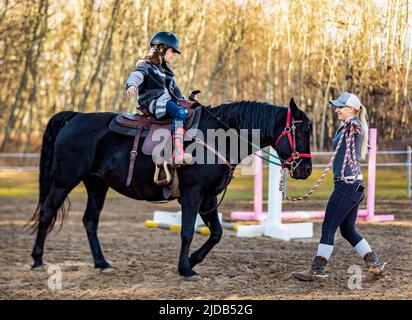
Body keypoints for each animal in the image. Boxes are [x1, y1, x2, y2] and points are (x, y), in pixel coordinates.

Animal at [29, 98, 312, 278]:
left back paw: (102, 262)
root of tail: (75, 117)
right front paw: (185, 268)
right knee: (47, 212)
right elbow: (186, 232)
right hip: (65, 180)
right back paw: (37, 259)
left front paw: (194, 260)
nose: (306, 170)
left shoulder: (208, 199)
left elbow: (217, 233)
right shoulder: (193, 196)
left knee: (90, 221)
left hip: (97, 185)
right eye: (301, 133)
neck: (217, 137)